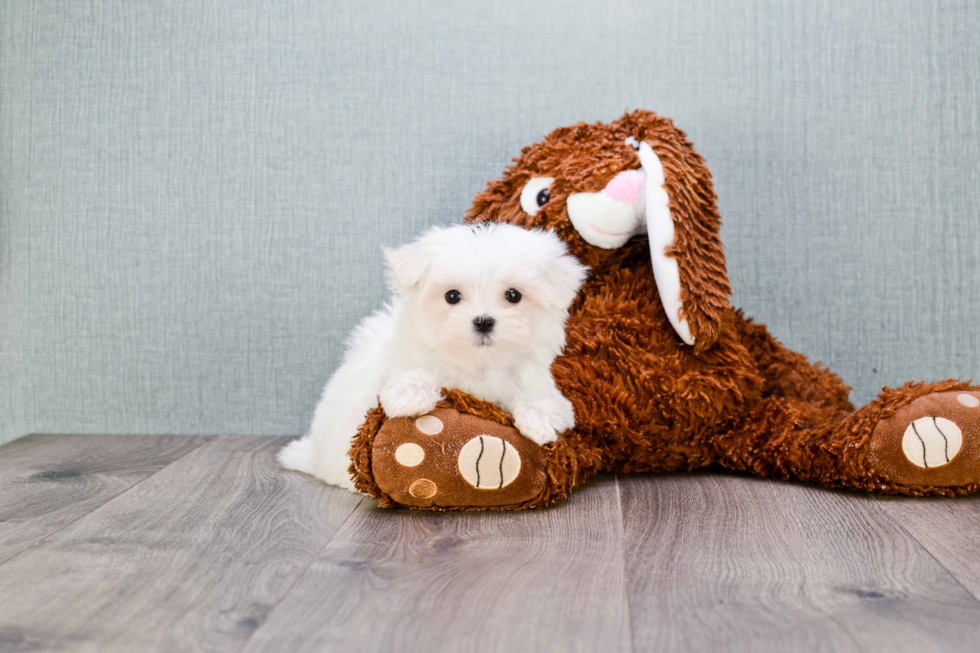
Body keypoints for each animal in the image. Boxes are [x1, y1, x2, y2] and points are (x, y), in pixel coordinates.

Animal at [284, 223, 588, 488]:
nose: (483, 321)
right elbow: (406, 375)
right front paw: (410, 394)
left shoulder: (550, 393)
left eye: (513, 295)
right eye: (452, 296)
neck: (478, 364)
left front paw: (538, 420)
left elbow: (543, 401)